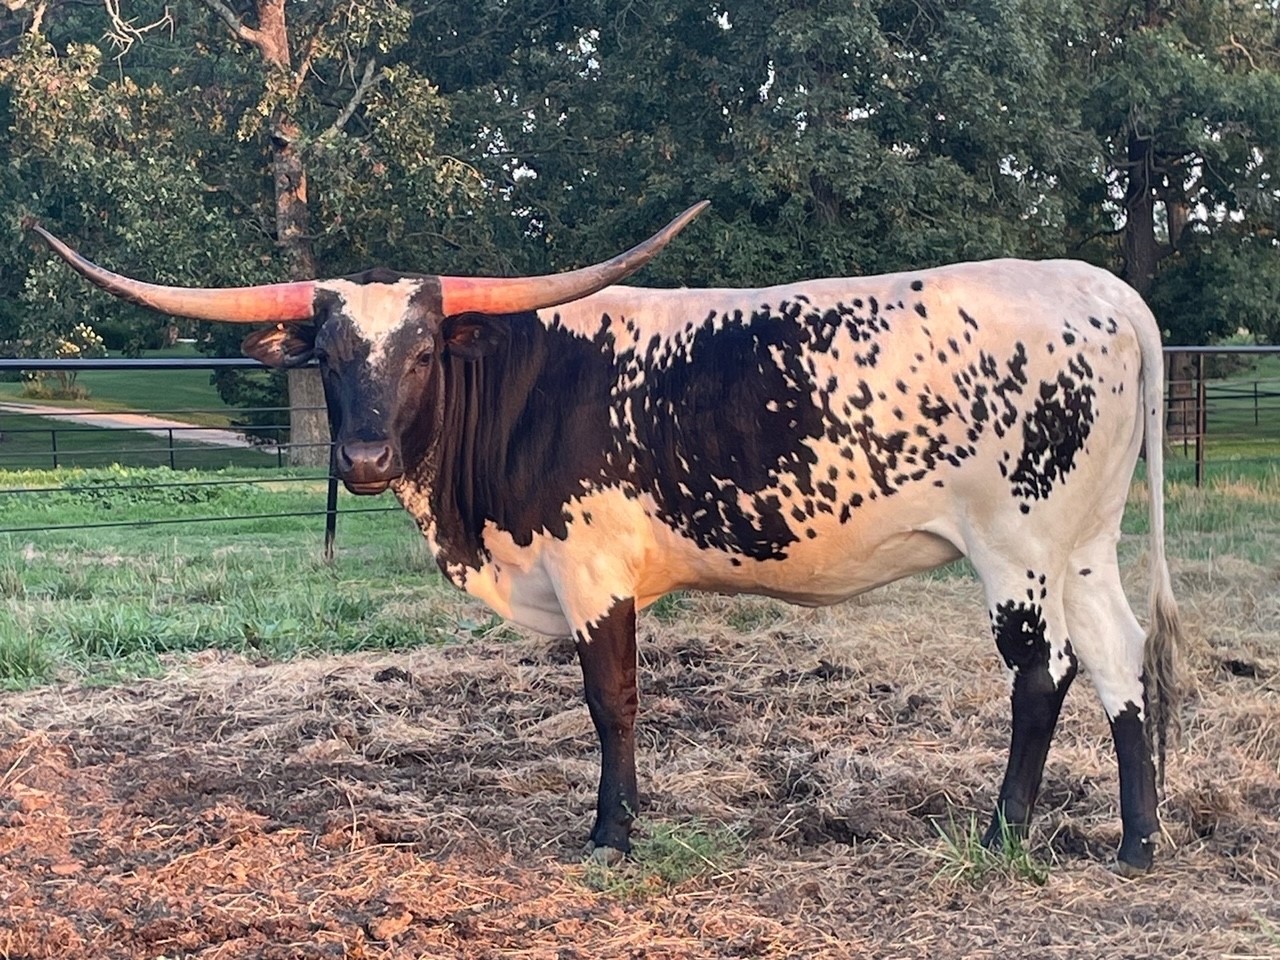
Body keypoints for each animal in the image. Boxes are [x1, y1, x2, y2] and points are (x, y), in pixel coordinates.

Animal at [29, 204, 1182, 876]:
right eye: (327, 353)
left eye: (420, 351)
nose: (359, 456)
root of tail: (1103, 292)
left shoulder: (591, 570)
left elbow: (611, 701)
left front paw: (611, 832)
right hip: (1081, 545)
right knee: (1120, 660)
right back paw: (1135, 842)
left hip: (1015, 545)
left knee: (1043, 674)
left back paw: (1002, 832)